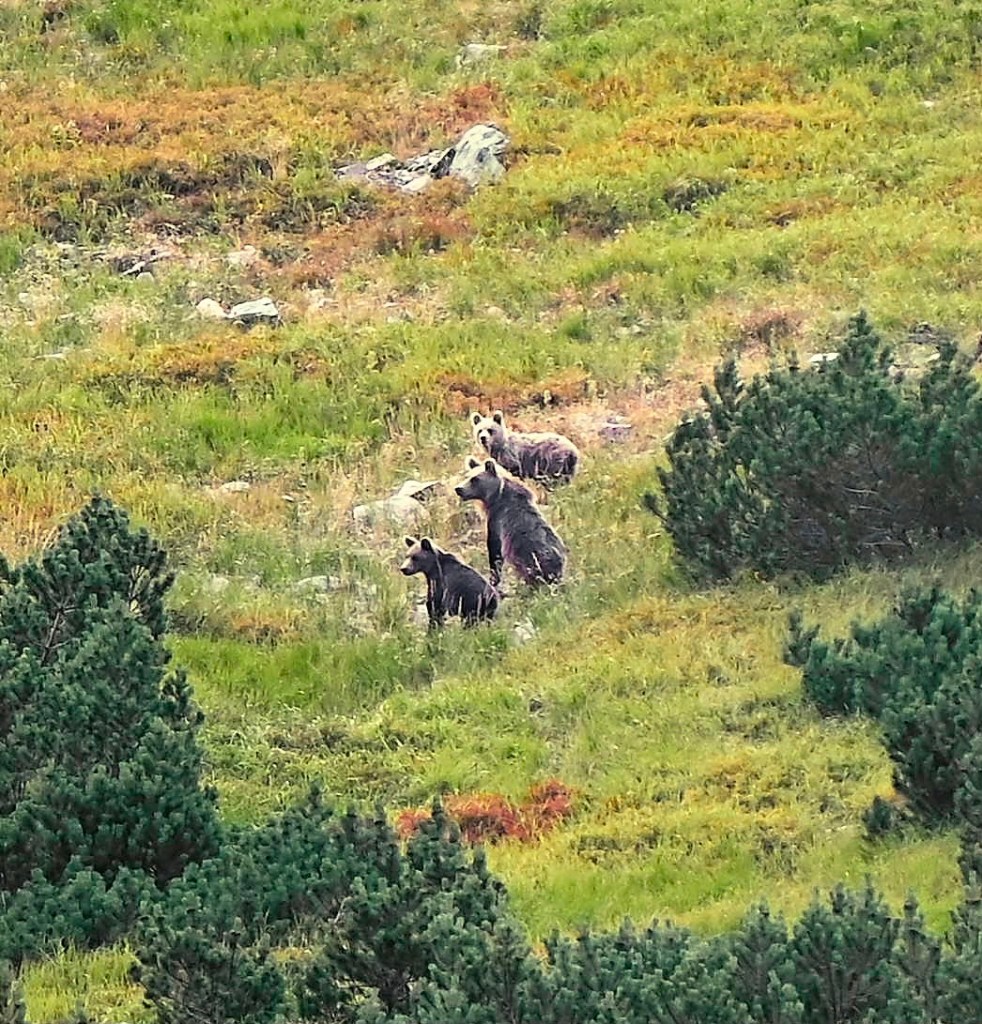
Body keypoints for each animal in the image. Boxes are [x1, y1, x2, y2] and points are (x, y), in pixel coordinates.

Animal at [454, 457, 566, 587]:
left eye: (475, 479)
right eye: (467, 476)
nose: (458, 489)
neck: (495, 496)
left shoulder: (497, 520)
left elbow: (495, 549)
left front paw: (494, 579)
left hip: (529, 557)